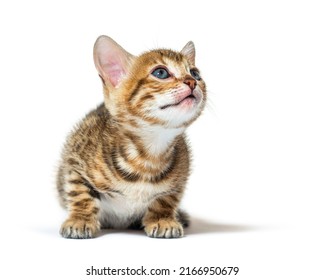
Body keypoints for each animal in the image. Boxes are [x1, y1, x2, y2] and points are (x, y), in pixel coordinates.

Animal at [56, 35, 205, 238]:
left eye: (195, 73)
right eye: (160, 73)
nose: (192, 82)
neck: (149, 154)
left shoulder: (181, 175)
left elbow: (167, 198)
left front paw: (162, 219)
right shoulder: (74, 161)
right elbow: (79, 193)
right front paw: (80, 219)